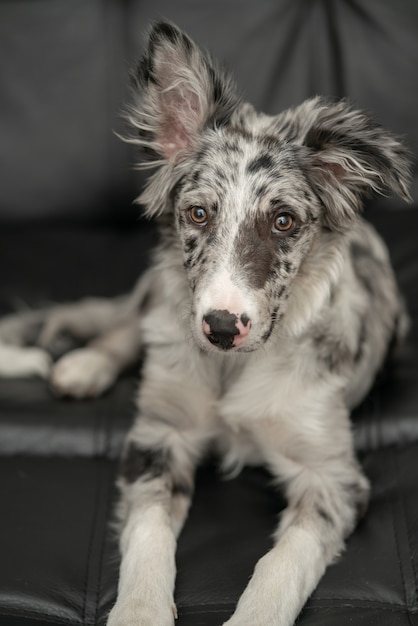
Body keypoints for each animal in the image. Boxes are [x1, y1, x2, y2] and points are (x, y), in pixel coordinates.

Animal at [0, 20, 412, 624]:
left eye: (284, 222)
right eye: (198, 213)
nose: (220, 327)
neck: (232, 369)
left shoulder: (332, 476)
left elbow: (281, 565)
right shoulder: (160, 437)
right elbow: (148, 538)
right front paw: (140, 611)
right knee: (126, 323)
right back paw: (85, 365)